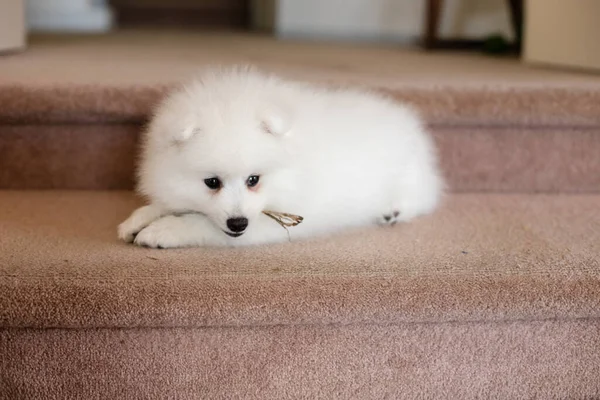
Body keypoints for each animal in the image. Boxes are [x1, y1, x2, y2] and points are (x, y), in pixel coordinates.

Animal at [119, 66, 442, 248]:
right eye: (212, 182)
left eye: (253, 179)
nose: (238, 223)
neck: (293, 168)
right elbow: (167, 204)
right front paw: (138, 219)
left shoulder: (273, 222)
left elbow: (201, 224)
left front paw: (162, 230)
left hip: (408, 175)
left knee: (422, 197)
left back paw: (392, 211)